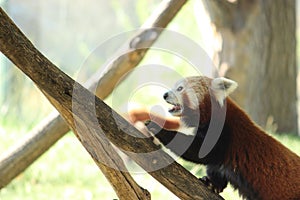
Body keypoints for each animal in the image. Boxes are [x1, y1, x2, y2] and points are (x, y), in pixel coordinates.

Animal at [131, 76, 300, 200]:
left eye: (180, 88)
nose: (165, 94)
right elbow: (215, 165)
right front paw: (212, 183)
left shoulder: (224, 133)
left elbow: (199, 152)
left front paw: (157, 127)